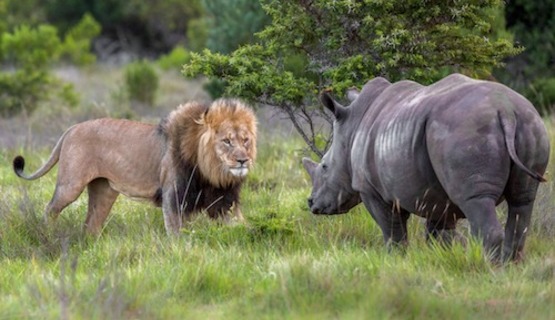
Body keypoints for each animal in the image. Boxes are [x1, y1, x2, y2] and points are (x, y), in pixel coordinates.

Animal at [12, 98, 256, 235]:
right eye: (227, 141)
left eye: (245, 140)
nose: (243, 160)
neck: (212, 172)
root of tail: (72, 128)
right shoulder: (173, 197)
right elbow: (177, 234)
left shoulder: (223, 201)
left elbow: (240, 226)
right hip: (70, 186)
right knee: (50, 209)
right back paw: (45, 234)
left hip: (104, 191)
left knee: (90, 225)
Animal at [304, 74, 552, 262]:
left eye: (324, 167)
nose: (311, 203)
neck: (353, 127)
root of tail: (506, 110)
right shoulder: (436, 197)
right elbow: (438, 235)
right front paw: (441, 260)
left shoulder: (371, 190)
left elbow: (392, 231)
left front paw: (395, 260)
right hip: (531, 123)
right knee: (522, 201)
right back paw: (511, 266)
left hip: (465, 130)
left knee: (476, 200)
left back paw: (491, 270)